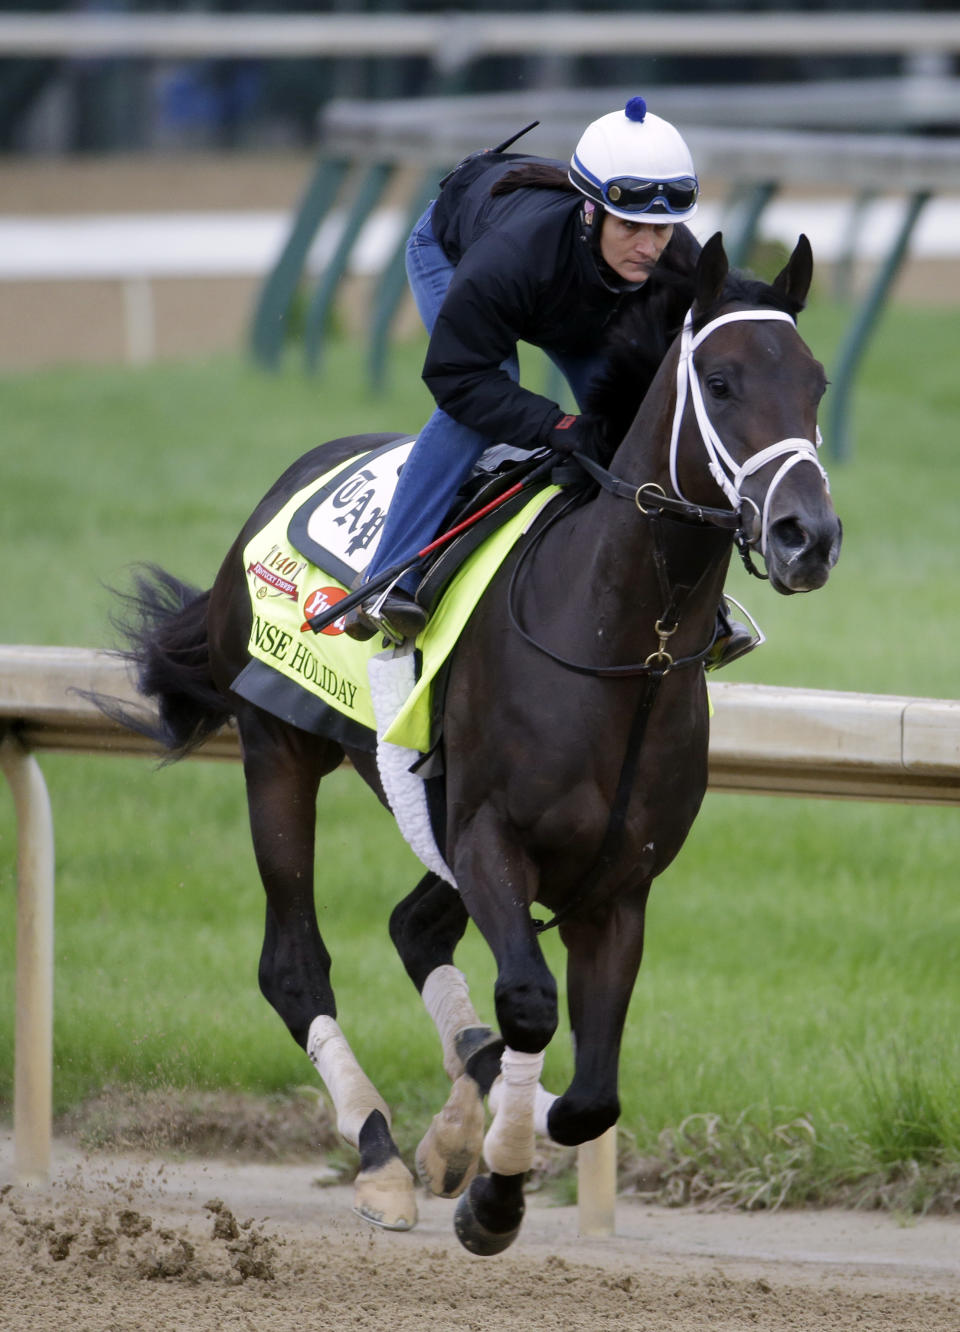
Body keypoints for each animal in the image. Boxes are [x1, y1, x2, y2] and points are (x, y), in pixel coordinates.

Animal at [103, 231, 841, 1257]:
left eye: (815, 382)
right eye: (723, 381)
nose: (809, 535)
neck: (626, 643)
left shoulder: (616, 883)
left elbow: (591, 1096)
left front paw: (484, 1143)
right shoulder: (493, 837)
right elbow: (530, 1005)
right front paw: (492, 1192)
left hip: (430, 810)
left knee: (415, 927)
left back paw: (452, 1127)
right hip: (278, 751)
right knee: (294, 964)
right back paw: (380, 1156)